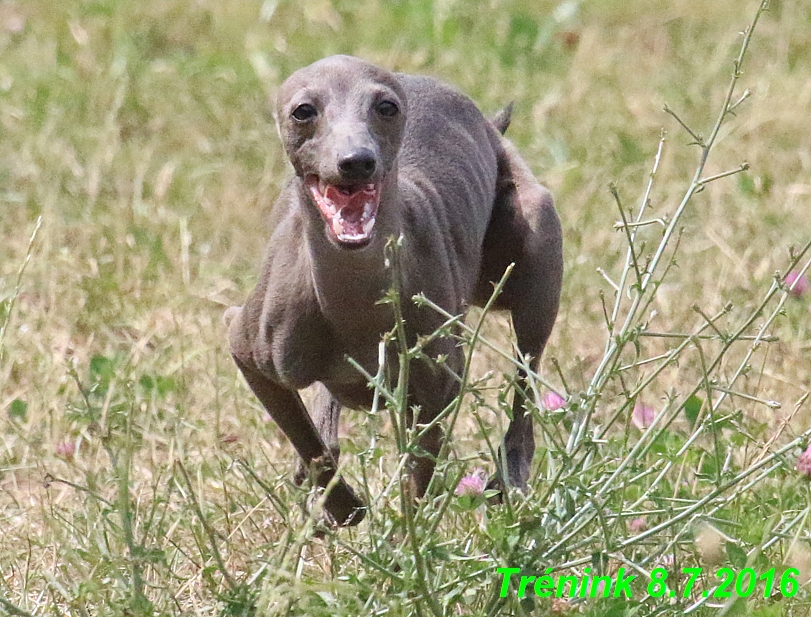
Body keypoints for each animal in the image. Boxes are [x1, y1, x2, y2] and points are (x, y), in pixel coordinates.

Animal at [225, 55, 560, 524]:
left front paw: (402, 539)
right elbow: (310, 445)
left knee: (525, 383)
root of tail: (487, 123)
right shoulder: (247, 346)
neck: (353, 301)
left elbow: (415, 488)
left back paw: (510, 477)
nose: (356, 161)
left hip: (537, 246)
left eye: (386, 107)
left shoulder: (437, 392)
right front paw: (339, 505)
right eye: (303, 111)